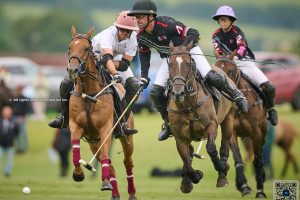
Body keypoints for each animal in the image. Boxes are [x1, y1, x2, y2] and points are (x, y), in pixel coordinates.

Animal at [67, 26, 137, 200]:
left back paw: (131, 193)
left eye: (86, 49)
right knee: (110, 164)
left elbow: (106, 156)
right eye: (69, 48)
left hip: (126, 138)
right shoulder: (75, 126)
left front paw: (104, 181)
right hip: (94, 142)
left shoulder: (106, 129)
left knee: (127, 162)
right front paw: (78, 174)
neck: (89, 94)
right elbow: (75, 149)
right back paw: (113, 191)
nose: (72, 70)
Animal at [166, 42, 234, 194]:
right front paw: (194, 177)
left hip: (228, 119)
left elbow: (211, 148)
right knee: (190, 153)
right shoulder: (180, 138)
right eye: (170, 64)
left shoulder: (211, 126)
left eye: (188, 63)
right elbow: (186, 159)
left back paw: (222, 177)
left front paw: (223, 167)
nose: (178, 93)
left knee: (224, 144)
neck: (188, 105)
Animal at [214, 54, 268, 198]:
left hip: (263, 131)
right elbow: (238, 158)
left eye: (231, 70)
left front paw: (260, 191)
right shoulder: (232, 132)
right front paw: (243, 186)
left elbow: (257, 160)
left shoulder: (256, 133)